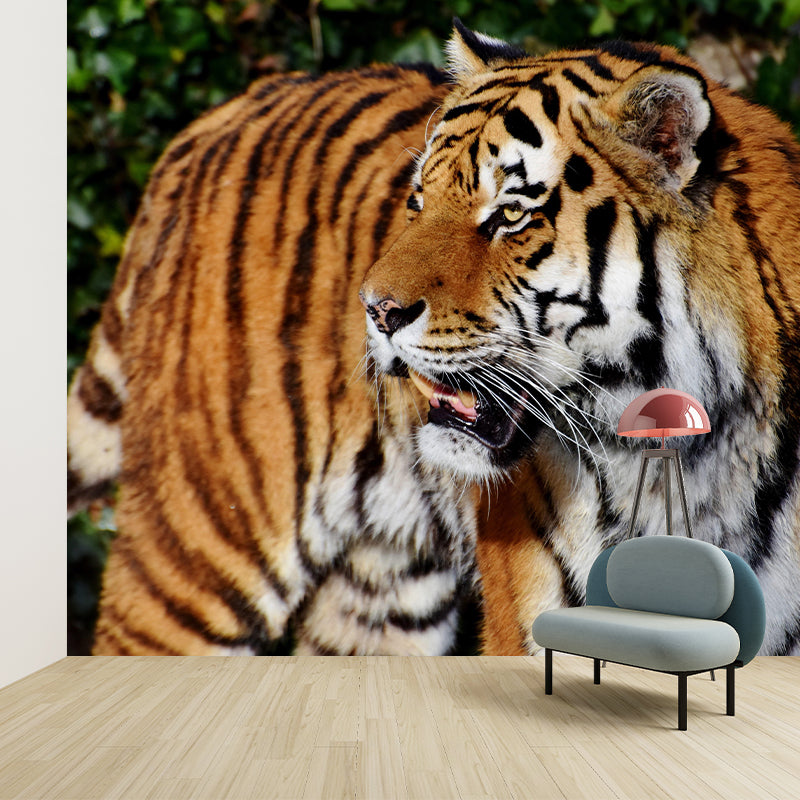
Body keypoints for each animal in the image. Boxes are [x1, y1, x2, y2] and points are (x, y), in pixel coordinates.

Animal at [68, 21, 800, 656]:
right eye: (418, 200)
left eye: (510, 215)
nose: (376, 310)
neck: (689, 461)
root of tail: (215, 119)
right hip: (196, 552)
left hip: (384, 596)